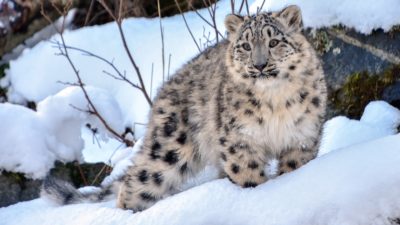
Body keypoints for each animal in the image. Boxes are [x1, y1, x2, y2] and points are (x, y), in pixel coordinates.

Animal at [42, 5, 326, 213]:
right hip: (169, 149)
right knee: (136, 182)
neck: (275, 101)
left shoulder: (302, 137)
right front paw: (256, 193)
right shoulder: (239, 141)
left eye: (274, 42)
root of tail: (161, 93)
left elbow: (294, 169)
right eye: (245, 46)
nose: (259, 65)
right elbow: (248, 176)